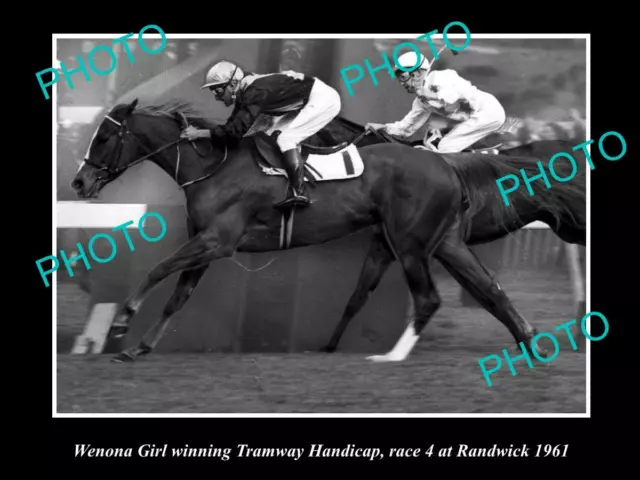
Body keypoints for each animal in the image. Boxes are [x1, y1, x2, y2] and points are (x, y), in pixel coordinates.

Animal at [70, 100, 584, 364]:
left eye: (104, 137)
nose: (78, 182)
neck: (212, 166)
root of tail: (445, 162)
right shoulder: (210, 245)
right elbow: (177, 295)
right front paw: (138, 347)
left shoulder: (217, 240)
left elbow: (158, 270)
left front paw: (122, 323)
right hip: (444, 242)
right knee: (489, 289)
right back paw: (529, 342)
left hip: (411, 243)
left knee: (430, 298)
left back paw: (392, 356)